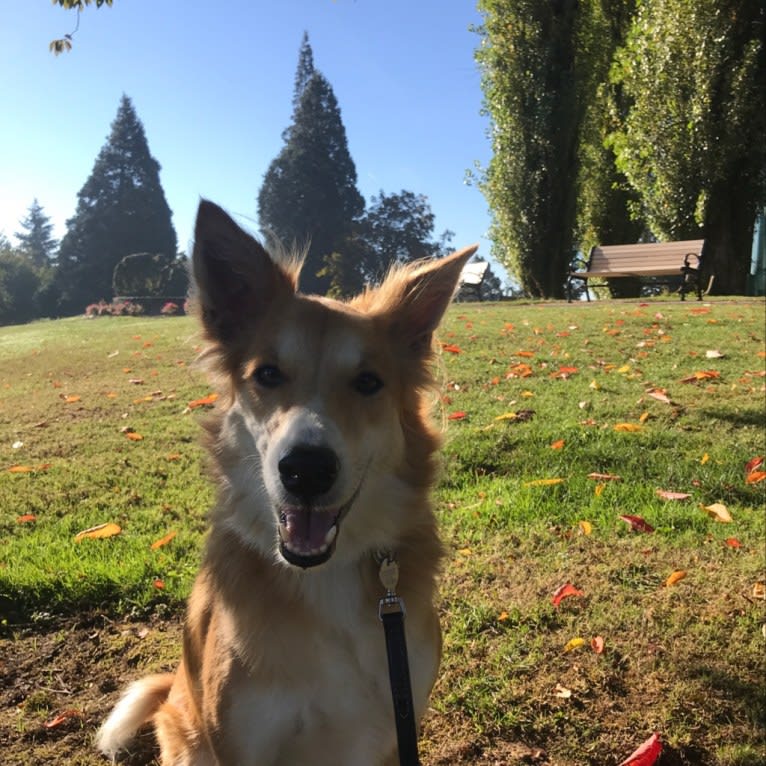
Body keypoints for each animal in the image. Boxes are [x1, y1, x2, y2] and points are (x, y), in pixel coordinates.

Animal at [98, 202, 476, 766]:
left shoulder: (392, 728)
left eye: (368, 382)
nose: (306, 469)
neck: (322, 579)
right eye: (268, 375)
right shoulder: (239, 742)